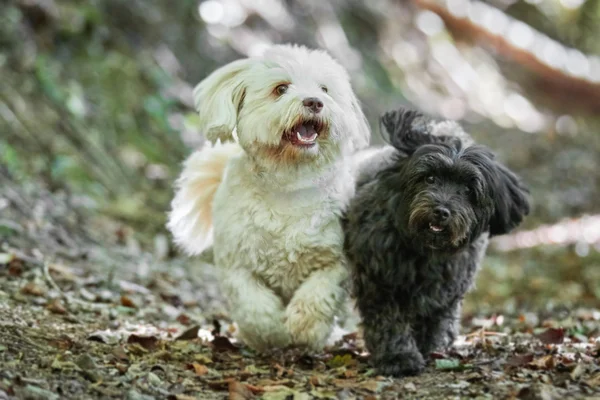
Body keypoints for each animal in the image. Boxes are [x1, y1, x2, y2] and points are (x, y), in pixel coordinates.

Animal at [166, 43, 368, 350]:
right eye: (281, 88)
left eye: (324, 89)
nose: (314, 102)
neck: (289, 182)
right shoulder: (237, 264)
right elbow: (254, 305)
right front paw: (273, 333)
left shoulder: (336, 260)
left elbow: (319, 292)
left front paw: (304, 327)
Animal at [342, 108, 528, 376]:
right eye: (429, 178)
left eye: (468, 189)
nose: (441, 211)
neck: (426, 250)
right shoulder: (379, 283)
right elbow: (388, 322)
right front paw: (398, 357)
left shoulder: (449, 289)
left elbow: (437, 318)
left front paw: (432, 346)